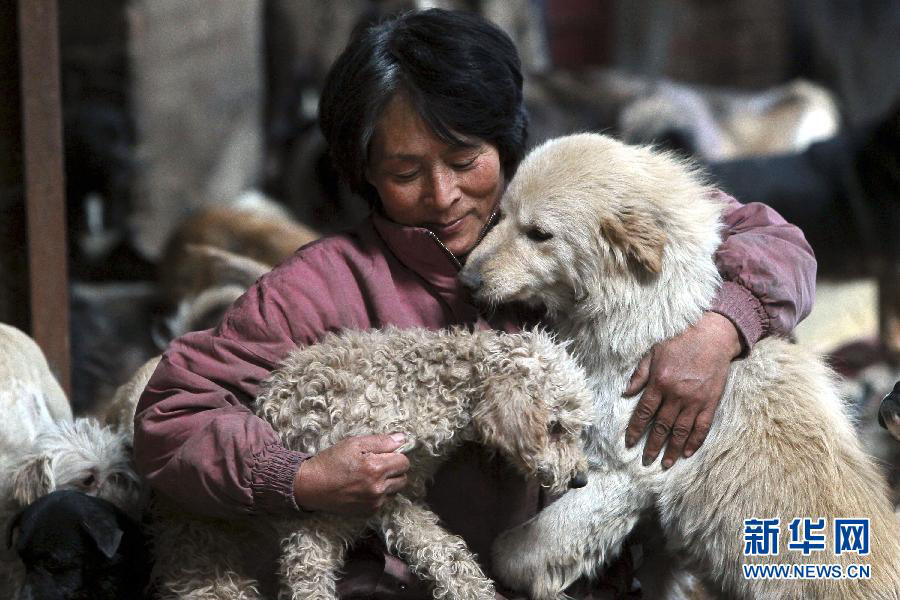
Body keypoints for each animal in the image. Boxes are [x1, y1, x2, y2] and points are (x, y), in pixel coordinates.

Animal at [152, 326, 596, 596]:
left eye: (576, 426)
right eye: (555, 426)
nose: (580, 480)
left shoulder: (397, 491)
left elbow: (440, 548)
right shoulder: (375, 484)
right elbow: (438, 546)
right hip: (214, 564)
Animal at [460, 135, 900, 600]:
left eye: (539, 234)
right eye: (500, 215)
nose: (467, 280)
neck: (650, 319)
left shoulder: (628, 472)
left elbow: (517, 549)